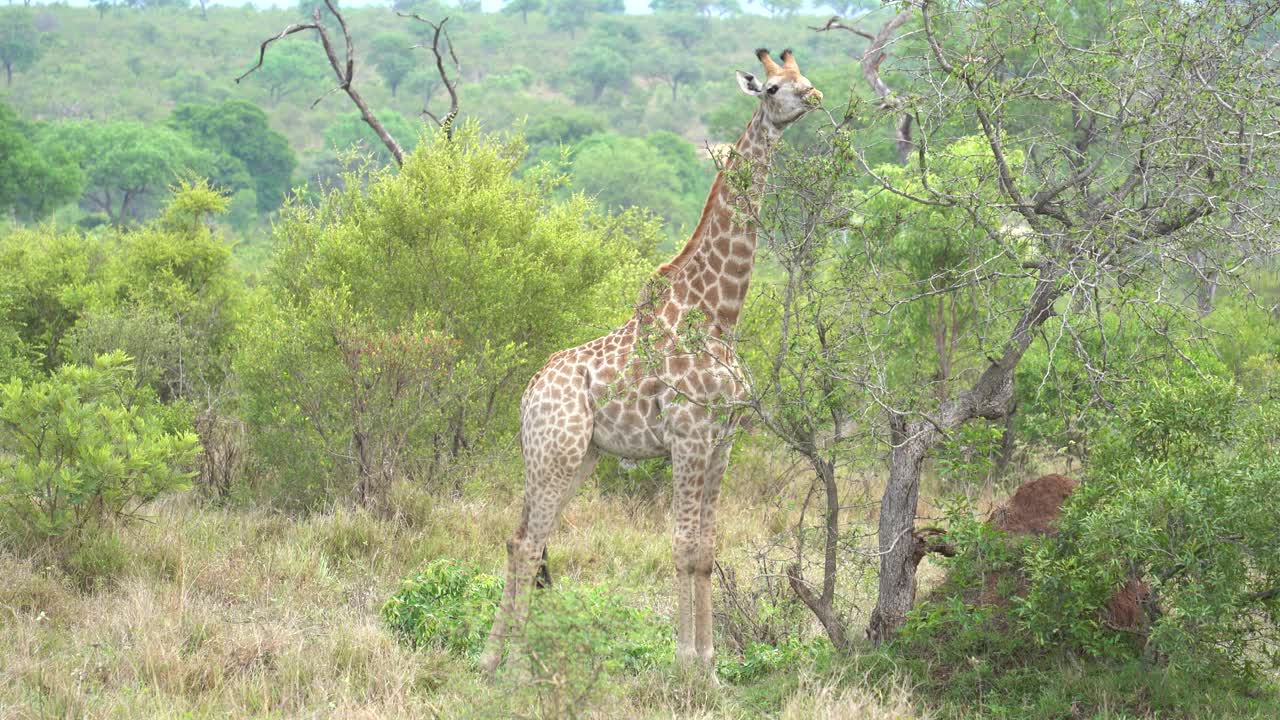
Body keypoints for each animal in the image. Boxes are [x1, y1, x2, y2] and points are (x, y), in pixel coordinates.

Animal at [478, 49, 819, 671]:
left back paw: (502, 660)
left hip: (578, 457)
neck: (717, 314)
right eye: (773, 88)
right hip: (555, 453)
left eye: (801, 75)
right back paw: (507, 664)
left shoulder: (722, 439)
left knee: (522, 538)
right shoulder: (687, 434)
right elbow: (682, 546)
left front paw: (709, 666)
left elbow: (706, 548)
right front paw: (687, 664)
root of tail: (527, 393)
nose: (814, 96)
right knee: (529, 542)